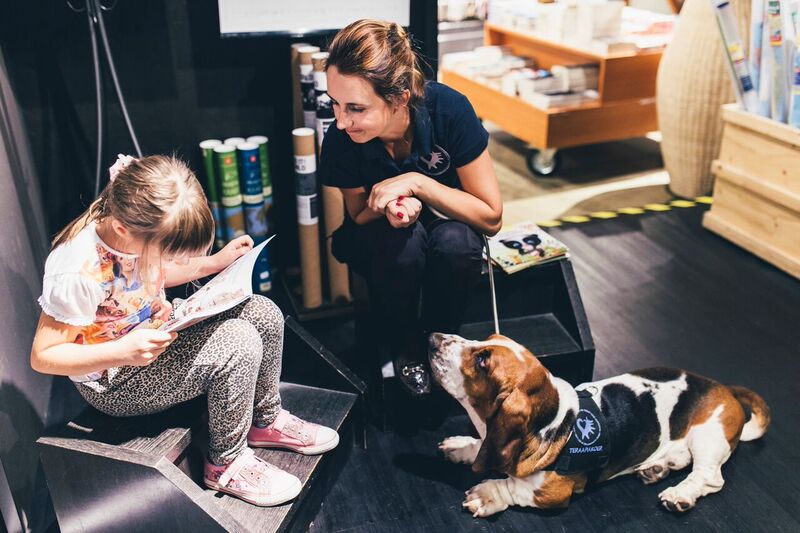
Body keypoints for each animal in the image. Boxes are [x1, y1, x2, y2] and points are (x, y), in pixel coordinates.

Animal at [428, 333, 770, 518]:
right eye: (485, 339)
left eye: (483, 361)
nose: (432, 338)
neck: (555, 420)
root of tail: (723, 387)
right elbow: (480, 447)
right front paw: (462, 446)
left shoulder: (551, 492)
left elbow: (513, 486)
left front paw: (488, 494)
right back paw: (656, 468)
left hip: (708, 436)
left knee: (709, 477)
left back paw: (680, 494)